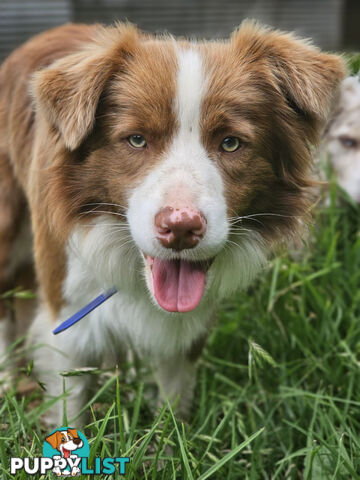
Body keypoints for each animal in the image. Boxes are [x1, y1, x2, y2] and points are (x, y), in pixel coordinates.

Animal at [0, 20, 346, 424]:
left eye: (231, 143)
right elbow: (70, 397)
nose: (181, 228)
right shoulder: (68, 312)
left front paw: (170, 434)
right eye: (136, 140)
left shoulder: (189, 324)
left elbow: (174, 390)